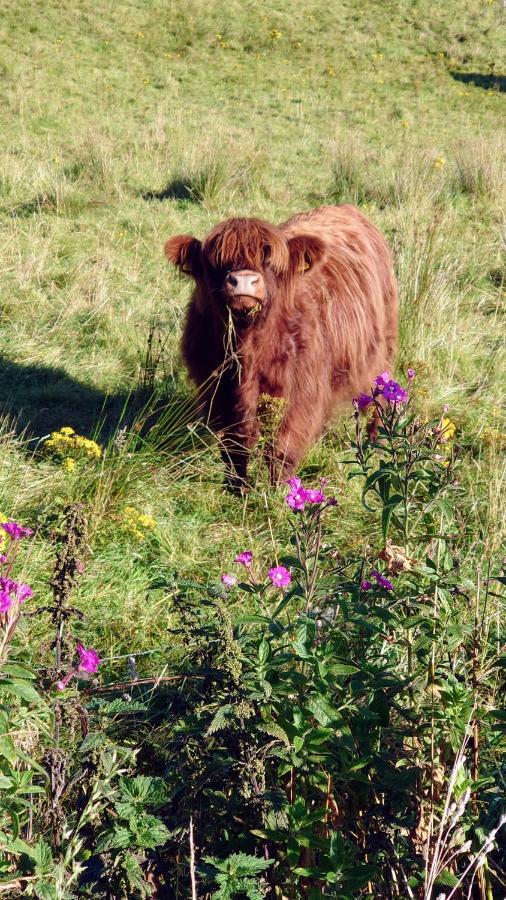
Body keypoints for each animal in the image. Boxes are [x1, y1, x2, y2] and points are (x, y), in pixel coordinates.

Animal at [166, 205, 400, 492]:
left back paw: (377, 442)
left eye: (267, 259)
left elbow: (282, 446)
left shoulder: (298, 393)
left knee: (383, 394)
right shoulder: (215, 389)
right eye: (216, 260)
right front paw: (236, 488)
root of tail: (346, 208)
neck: (249, 345)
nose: (243, 280)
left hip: (381, 352)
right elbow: (233, 444)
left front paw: (278, 490)